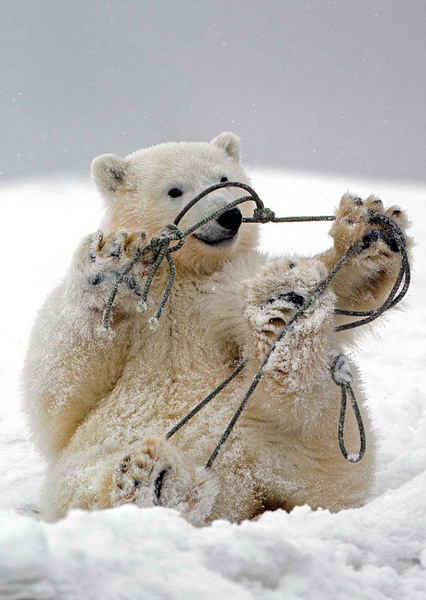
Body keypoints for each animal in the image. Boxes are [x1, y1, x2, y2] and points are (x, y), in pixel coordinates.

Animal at [22, 132, 410, 524]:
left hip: (306, 448)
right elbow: (63, 382)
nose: (230, 215)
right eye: (175, 190)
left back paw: (283, 311)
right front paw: (107, 262)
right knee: (84, 483)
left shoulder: (224, 289)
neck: (184, 273)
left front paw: (369, 231)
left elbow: (342, 291)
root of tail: (247, 497)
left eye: (223, 179)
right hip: (97, 453)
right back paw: (151, 480)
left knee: (308, 411)